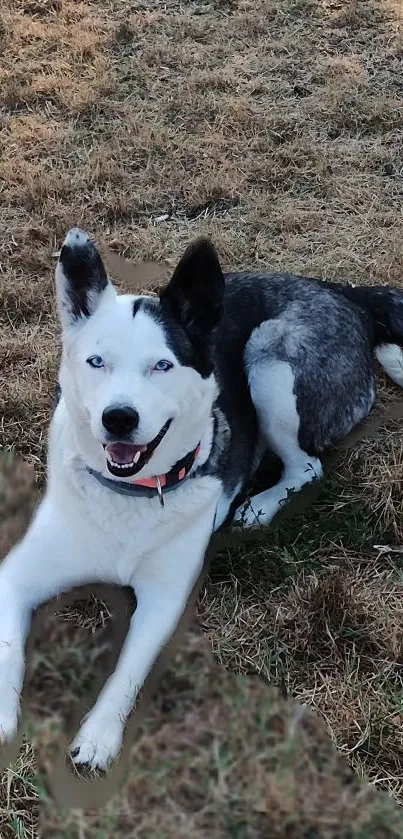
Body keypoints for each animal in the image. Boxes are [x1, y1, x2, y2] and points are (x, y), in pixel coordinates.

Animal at [0, 228, 403, 768]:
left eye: (163, 365)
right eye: (96, 361)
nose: (118, 418)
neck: (131, 495)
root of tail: (341, 291)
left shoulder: (163, 599)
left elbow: (127, 670)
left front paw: (100, 735)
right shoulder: (16, 576)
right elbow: (8, 646)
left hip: (269, 358)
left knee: (307, 466)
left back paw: (261, 505)